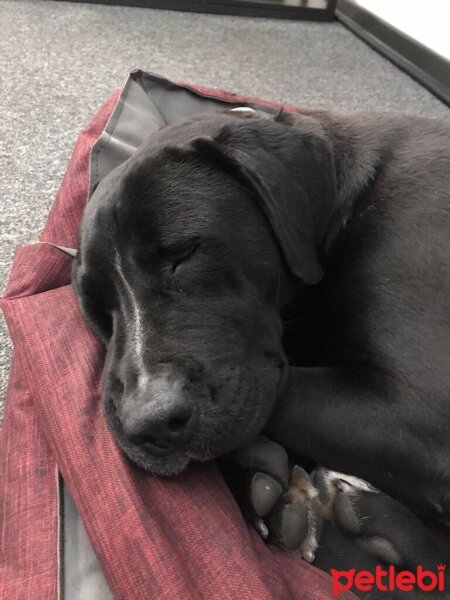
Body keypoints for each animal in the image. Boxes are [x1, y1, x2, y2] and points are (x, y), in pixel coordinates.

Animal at [74, 108, 450, 596]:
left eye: (183, 254)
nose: (149, 424)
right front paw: (256, 482)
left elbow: (285, 398)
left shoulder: (415, 410)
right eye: (93, 306)